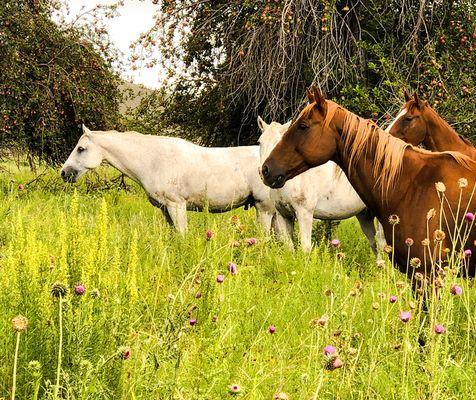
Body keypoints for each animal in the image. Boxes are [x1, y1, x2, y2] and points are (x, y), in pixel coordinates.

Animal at [60, 126, 276, 234]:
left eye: (81, 149)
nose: (64, 173)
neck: (153, 160)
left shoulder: (176, 206)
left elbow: (181, 235)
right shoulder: (165, 209)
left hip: (264, 209)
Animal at [256, 117, 386, 255]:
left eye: (278, 142)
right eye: (260, 142)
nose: (264, 171)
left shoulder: (304, 213)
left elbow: (305, 247)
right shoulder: (283, 215)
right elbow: (289, 248)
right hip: (365, 216)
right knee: (374, 244)